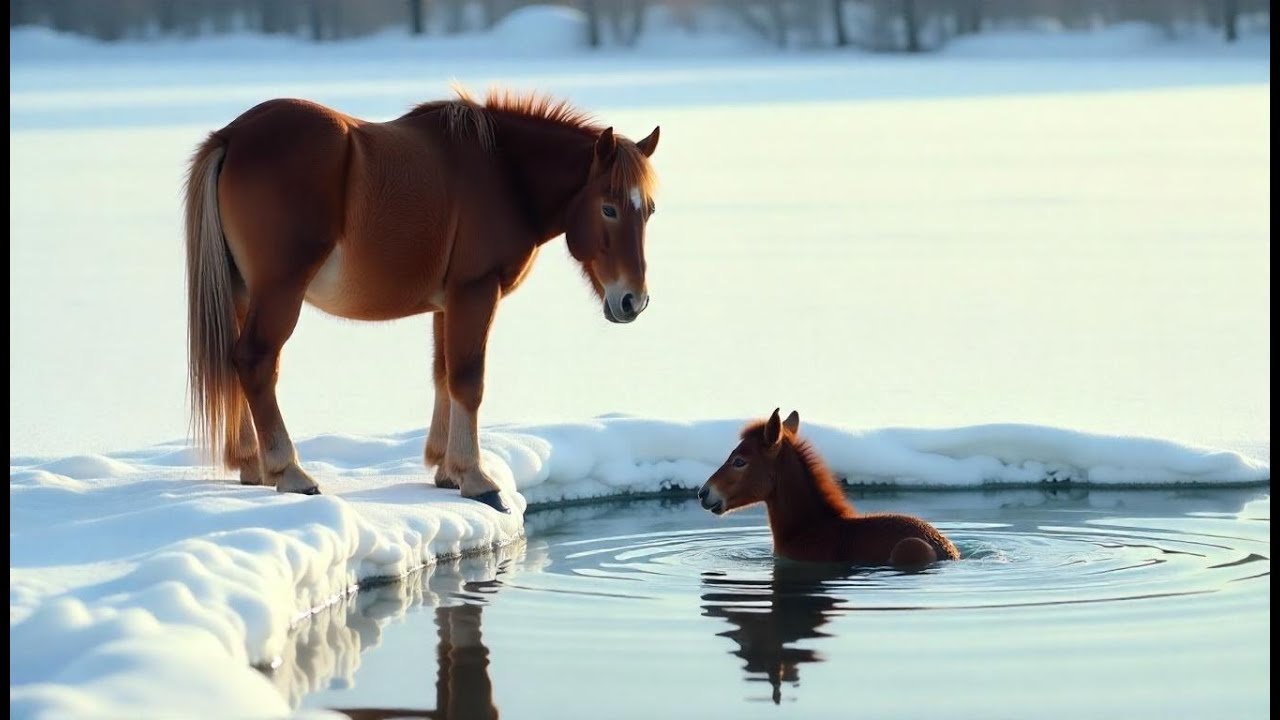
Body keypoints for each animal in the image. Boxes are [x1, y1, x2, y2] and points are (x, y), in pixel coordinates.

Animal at [184, 89, 660, 513]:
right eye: (609, 208)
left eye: (649, 210)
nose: (633, 301)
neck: (505, 173)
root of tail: (232, 135)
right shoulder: (476, 290)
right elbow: (468, 379)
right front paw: (476, 478)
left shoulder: (447, 304)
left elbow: (443, 375)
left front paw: (446, 468)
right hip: (280, 291)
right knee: (255, 361)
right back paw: (289, 471)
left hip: (244, 293)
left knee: (237, 366)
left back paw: (252, 463)